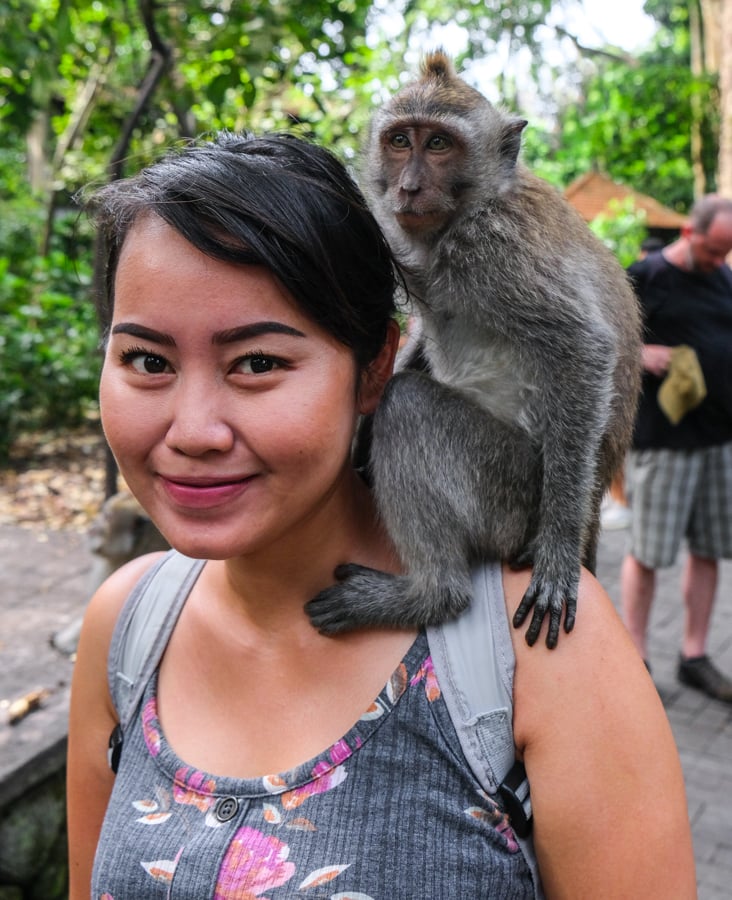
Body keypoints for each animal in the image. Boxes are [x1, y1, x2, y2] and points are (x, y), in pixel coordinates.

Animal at [306, 51, 636, 648]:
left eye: (439, 144)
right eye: (400, 140)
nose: (409, 186)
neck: (470, 211)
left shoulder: (496, 252)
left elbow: (583, 347)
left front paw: (557, 552)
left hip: (508, 491)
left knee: (410, 408)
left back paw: (430, 594)